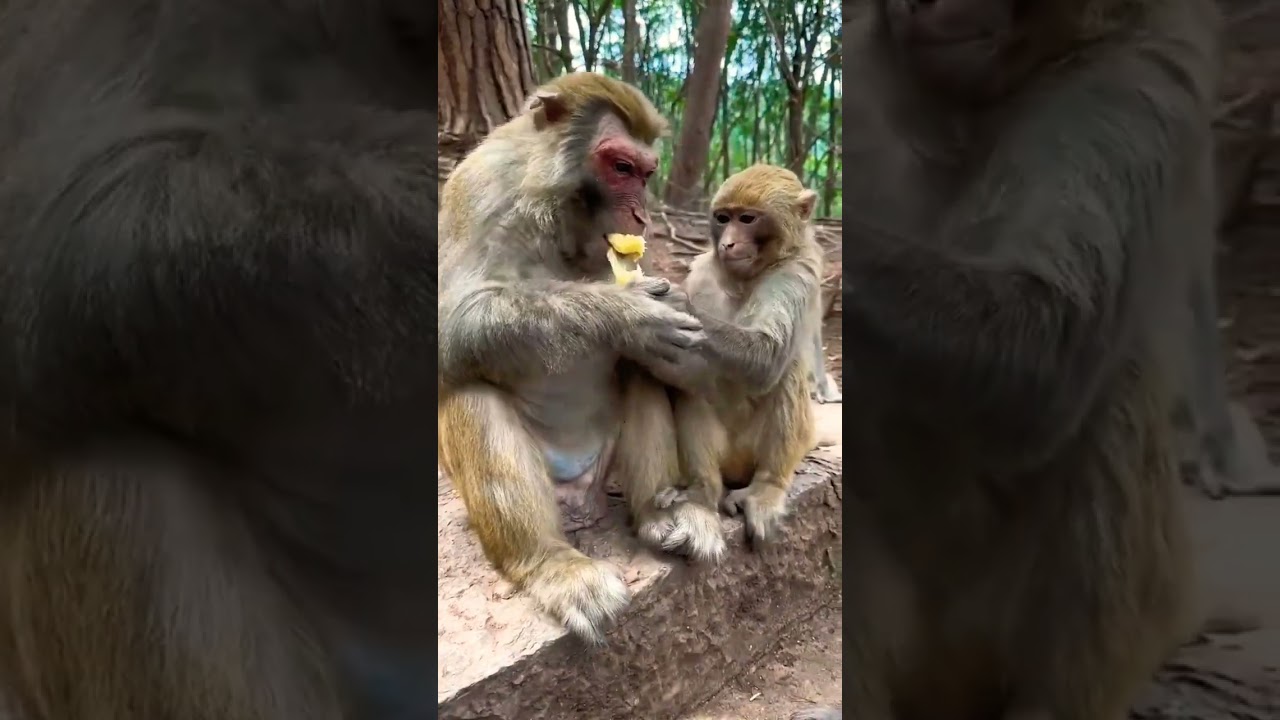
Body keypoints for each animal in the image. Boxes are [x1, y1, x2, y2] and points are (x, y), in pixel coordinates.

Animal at [438, 72, 727, 645]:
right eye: (620, 168)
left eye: (646, 173)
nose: (641, 215)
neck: (551, 214)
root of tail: (575, 500)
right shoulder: (477, 189)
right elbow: (448, 323)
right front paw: (627, 314)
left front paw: (670, 300)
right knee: (469, 384)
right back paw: (551, 563)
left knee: (645, 367)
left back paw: (661, 515)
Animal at [667, 164, 825, 545]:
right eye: (723, 218)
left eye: (748, 219)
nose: (728, 243)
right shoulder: (702, 272)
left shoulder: (798, 271)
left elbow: (767, 358)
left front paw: (676, 304)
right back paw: (702, 490)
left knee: (787, 369)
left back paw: (767, 487)